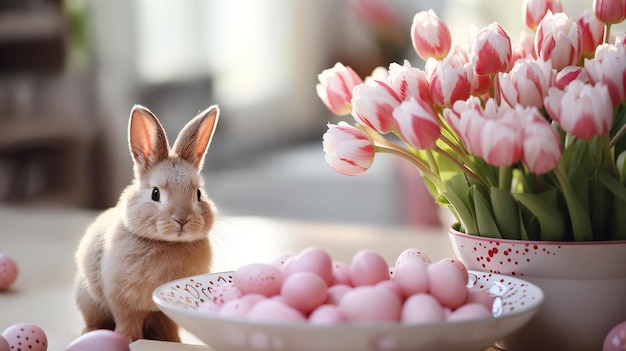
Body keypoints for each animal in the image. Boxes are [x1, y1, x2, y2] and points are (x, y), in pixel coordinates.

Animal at [73, 104, 218, 344]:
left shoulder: (162, 313)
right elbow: (126, 323)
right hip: (89, 300)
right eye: (155, 193)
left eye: (198, 194)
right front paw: (128, 340)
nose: (182, 220)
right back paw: (88, 333)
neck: (166, 243)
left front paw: (172, 343)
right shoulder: (122, 302)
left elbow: (169, 326)